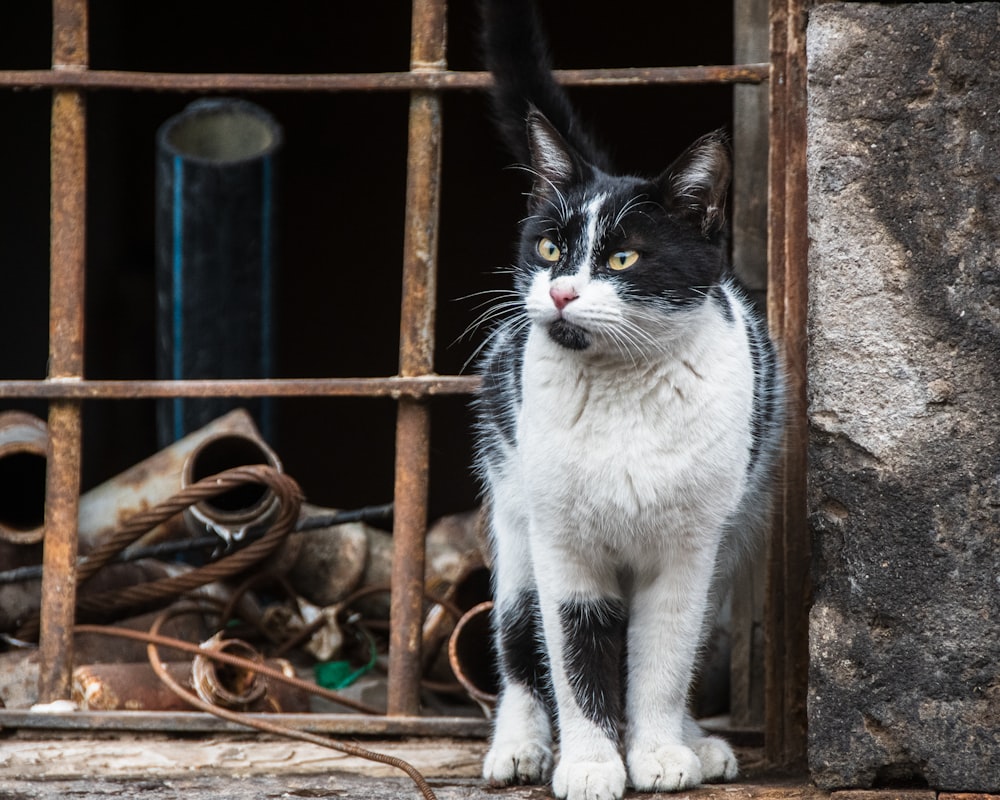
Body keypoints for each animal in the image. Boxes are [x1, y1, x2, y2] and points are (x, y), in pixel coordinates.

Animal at [472, 1, 784, 800]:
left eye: (622, 257)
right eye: (550, 249)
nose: (559, 292)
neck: (622, 390)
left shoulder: (689, 548)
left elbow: (663, 657)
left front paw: (660, 752)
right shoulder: (562, 543)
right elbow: (575, 656)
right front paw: (589, 764)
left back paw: (698, 741)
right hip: (513, 505)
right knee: (517, 638)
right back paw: (519, 745)